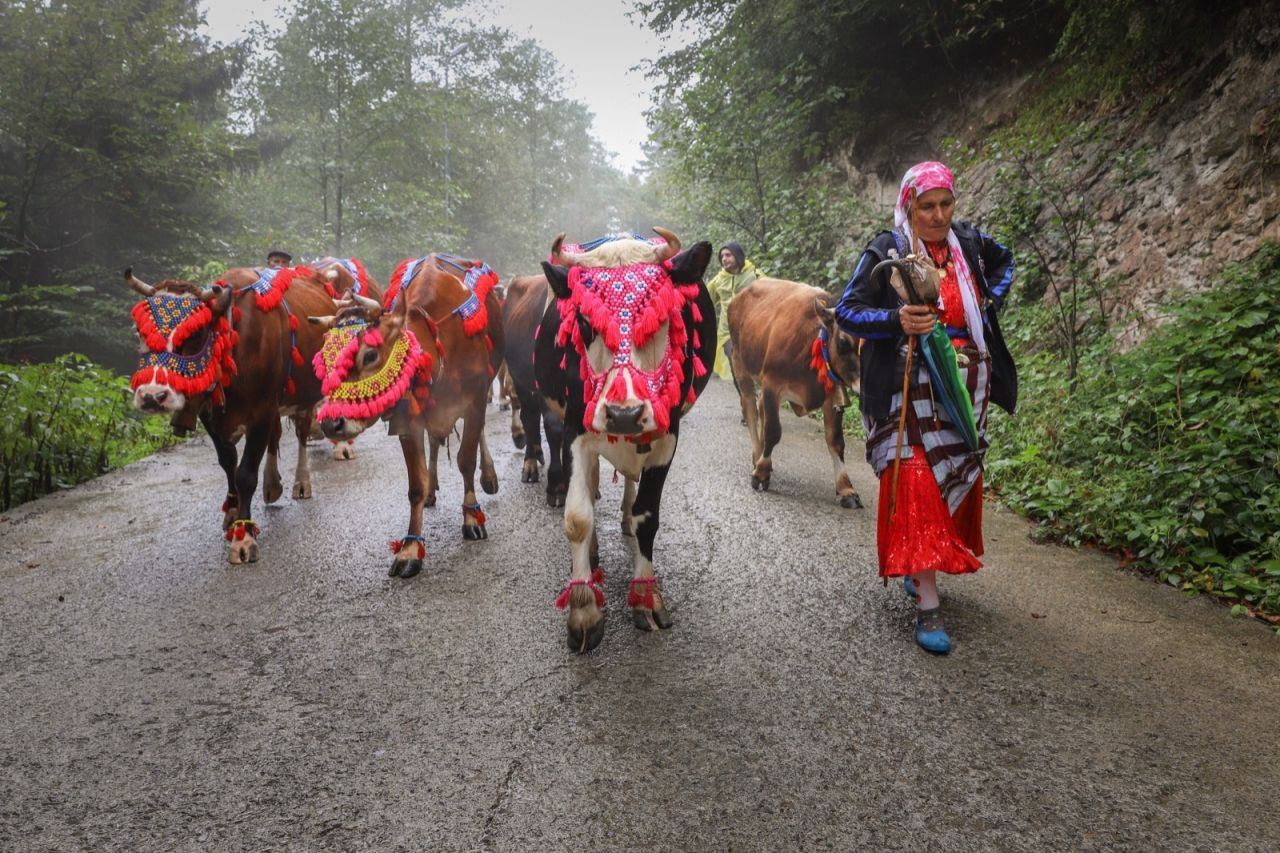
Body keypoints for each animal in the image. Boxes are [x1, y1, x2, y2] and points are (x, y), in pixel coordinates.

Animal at [120, 262, 335, 560]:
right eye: (141, 332)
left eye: (196, 334)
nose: (152, 396)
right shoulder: (210, 415)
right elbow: (227, 463)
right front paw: (233, 512)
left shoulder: (261, 412)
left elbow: (245, 474)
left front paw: (244, 537)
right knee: (276, 437)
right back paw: (272, 485)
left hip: (302, 396)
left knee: (302, 434)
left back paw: (301, 483)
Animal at [312, 249, 501, 573]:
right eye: (328, 356)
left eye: (370, 354)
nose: (330, 424)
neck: (438, 348)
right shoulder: (409, 419)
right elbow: (416, 485)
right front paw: (410, 549)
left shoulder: (475, 400)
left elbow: (466, 460)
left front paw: (471, 518)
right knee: (436, 443)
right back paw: (434, 488)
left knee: (476, 440)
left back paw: (488, 477)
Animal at [532, 227, 721, 650]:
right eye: (585, 322)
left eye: (658, 319)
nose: (622, 414)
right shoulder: (576, 431)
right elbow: (578, 517)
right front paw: (584, 610)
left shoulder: (666, 438)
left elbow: (646, 518)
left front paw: (646, 598)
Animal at [727, 277, 865, 504]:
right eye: (844, 341)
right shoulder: (772, 384)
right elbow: (773, 431)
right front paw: (761, 472)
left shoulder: (832, 397)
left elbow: (836, 441)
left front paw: (846, 488)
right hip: (740, 365)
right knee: (750, 411)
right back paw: (757, 457)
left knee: (759, 409)